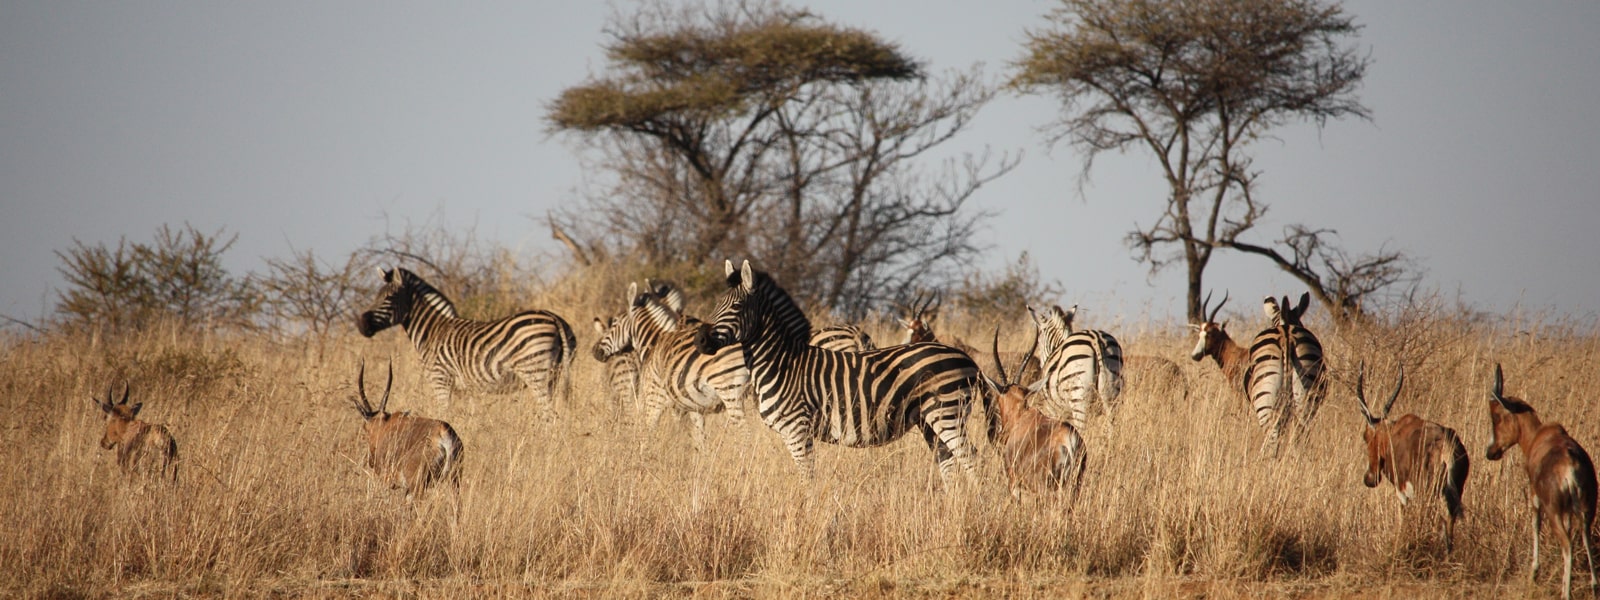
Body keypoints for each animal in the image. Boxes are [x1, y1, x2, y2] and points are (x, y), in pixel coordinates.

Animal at [356, 267, 577, 420]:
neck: (432, 331)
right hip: (555, 374)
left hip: (535, 372)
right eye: (377, 296)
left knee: (549, 415)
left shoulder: (440, 379)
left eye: (389, 298)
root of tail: (554, 318)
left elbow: (444, 415)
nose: (361, 325)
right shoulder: (465, 390)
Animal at [593, 282, 750, 449]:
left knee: (744, 432)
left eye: (614, 323)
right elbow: (698, 439)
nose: (595, 350)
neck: (655, 340)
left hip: (729, 390)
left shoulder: (655, 398)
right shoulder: (693, 407)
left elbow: (649, 432)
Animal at [694, 260, 983, 487]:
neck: (780, 363)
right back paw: (952, 506)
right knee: (948, 463)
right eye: (718, 304)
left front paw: (808, 514)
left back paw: (975, 507)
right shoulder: (794, 432)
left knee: (971, 458)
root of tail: (968, 358)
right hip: (930, 420)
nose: (700, 340)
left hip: (947, 413)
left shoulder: (798, 428)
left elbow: (807, 478)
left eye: (737, 306)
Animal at [1026, 304, 1124, 433]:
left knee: (1082, 430)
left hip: (1080, 400)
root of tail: (1095, 339)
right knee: (1112, 429)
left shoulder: (1055, 411)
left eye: (1039, 338)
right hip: (1112, 397)